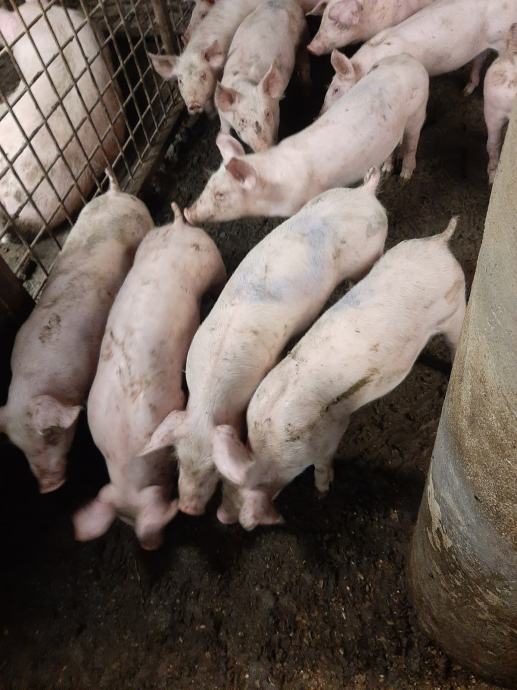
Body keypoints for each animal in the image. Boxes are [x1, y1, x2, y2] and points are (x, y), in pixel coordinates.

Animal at [73, 204, 226, 550]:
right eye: (126, 522)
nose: (151, 546)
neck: (123, 457)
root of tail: (178, 226)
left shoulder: (171, 402)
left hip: (210, 256)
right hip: (148, 243)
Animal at [141, 169, 388, 517]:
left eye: (214, 470)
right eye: (177, 460)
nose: (188, 509)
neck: (208, 400)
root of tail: (365, 195)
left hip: (369, 253)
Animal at [185, 54, 429, 224]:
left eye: (220, 195)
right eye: (207, 185)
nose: (188, 212)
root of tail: (411, 60)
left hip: (418, 111)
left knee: (412, 142)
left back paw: (405, 176)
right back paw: (387, 168)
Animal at [213, 217, 466, 530]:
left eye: (249, 522)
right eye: (223, 483)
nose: (221, 517)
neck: (268, 449)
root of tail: (438, 243)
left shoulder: (331, 434)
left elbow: (323, 464)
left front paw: (322, 493)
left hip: (455, 310)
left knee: (456, 341)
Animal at [215, 0, 308, 151]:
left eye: (267, 113)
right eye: (243, 121)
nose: (264, 148)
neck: (245, 85)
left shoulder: (276, 109)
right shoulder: (223, 116)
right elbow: (224, 131)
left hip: (304, 34)